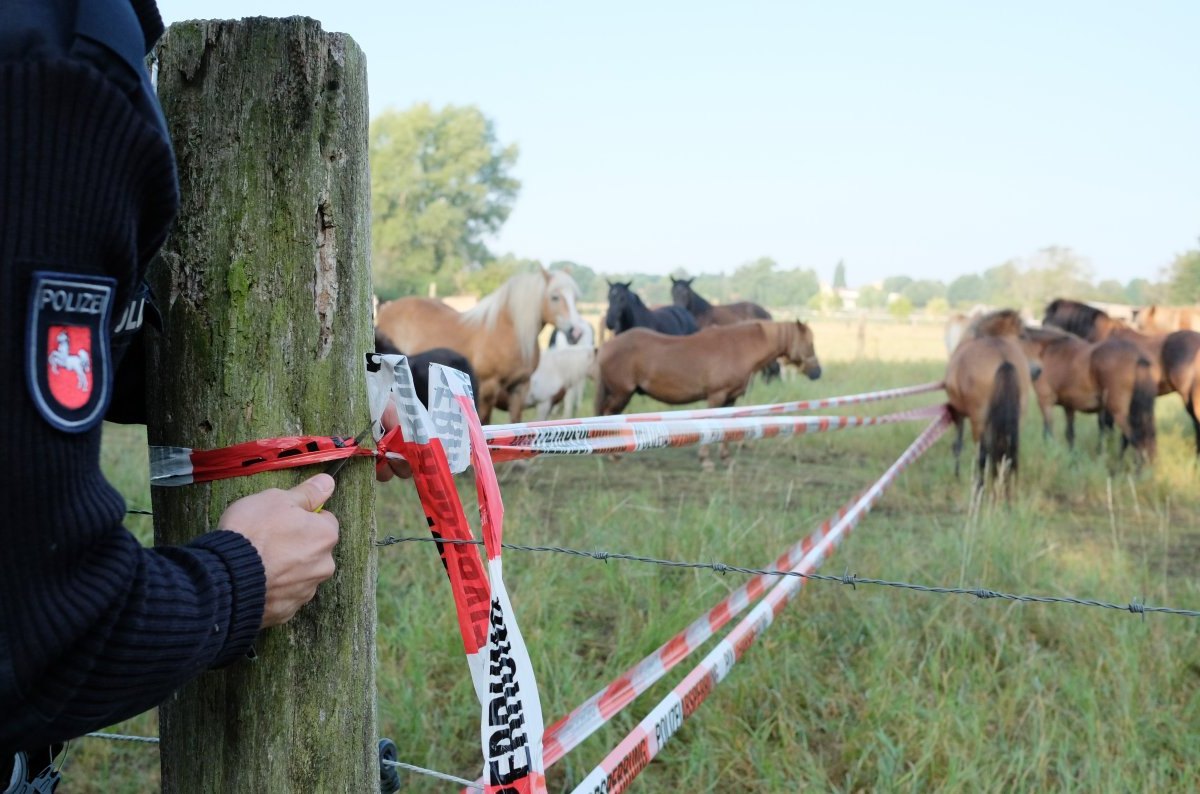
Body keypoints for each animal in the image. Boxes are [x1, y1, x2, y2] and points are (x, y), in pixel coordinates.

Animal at [372, 271, 583, 426]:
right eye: (555, 297)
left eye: (575, 297)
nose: (576, 332)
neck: (507, 331)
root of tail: (387, 309)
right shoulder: (489, 387)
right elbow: (485, 422)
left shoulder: (520, 386)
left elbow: (516, 421)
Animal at [595, 323, 820, 470]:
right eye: (809, 344)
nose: (818, 372)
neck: (738, 348)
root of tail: (607, 346)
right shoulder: (716, 397)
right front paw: (706, 461)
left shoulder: (730, 400)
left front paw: (726, 459)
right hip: (621, 393)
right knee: (606, 416)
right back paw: (613, 454)